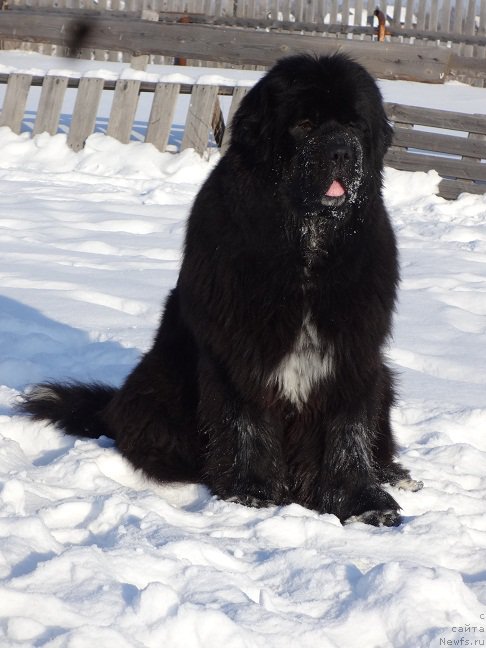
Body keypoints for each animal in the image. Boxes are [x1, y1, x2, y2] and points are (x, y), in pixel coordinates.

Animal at [19, 52, 422, 528]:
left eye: (355, 125)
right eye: (304, 124)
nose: (342, 150)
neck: (306, 247)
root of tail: (112, 405)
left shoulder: (352, 354)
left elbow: (348, 430)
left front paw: (363, 502)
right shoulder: (237, 351)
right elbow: (243, 420)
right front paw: (252, 492)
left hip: (383, 378)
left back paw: (395, 473)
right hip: (161, 382)